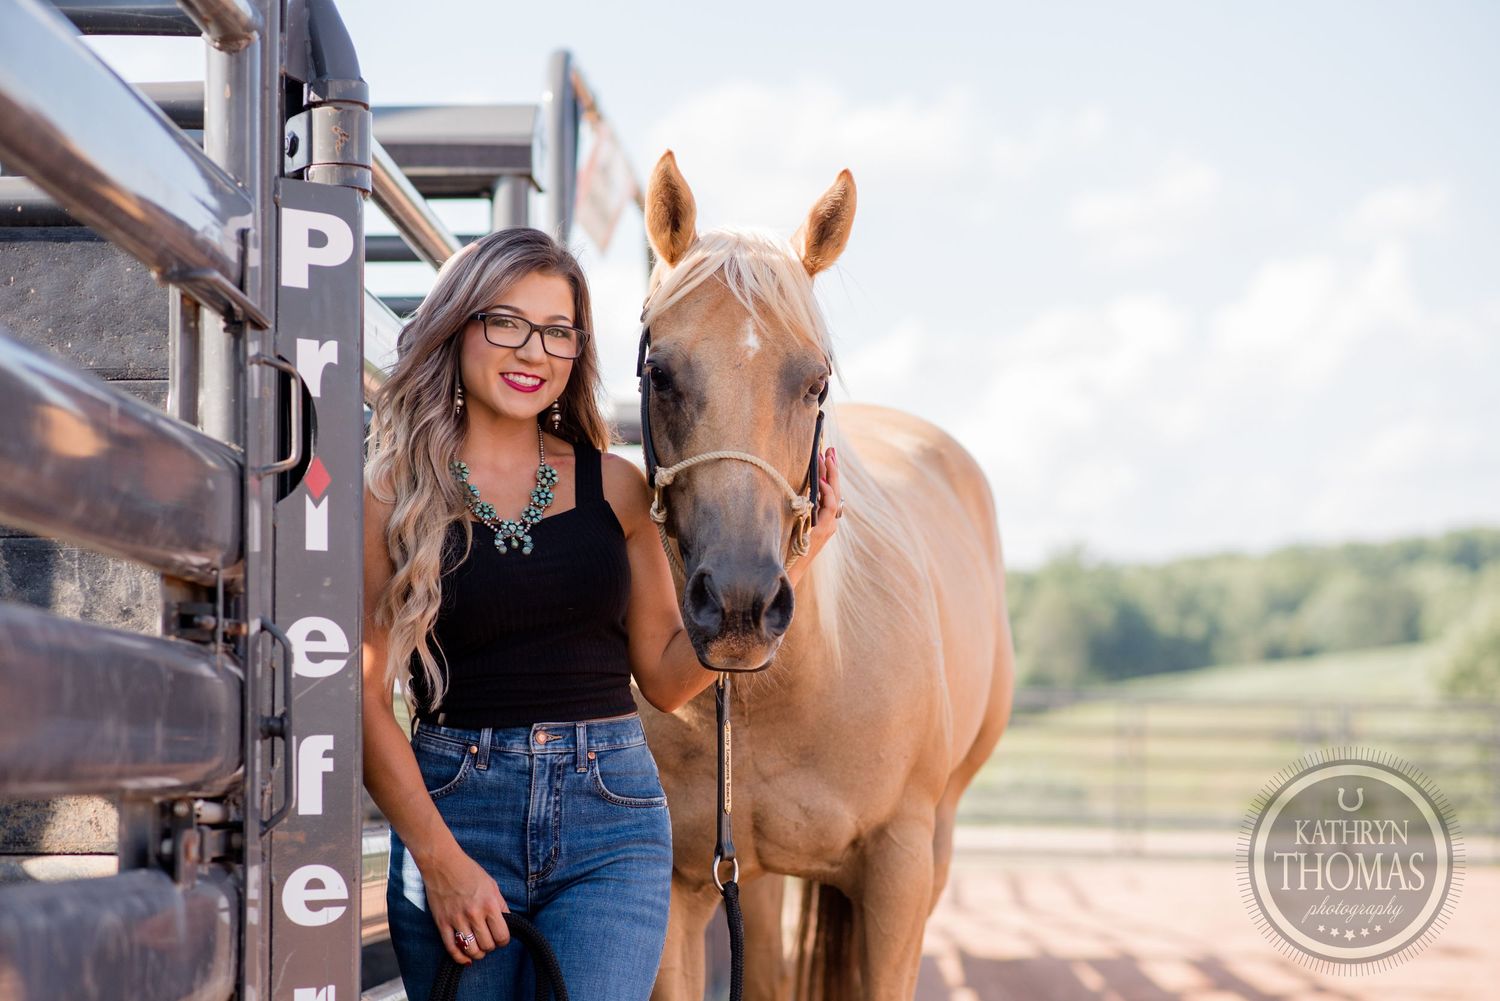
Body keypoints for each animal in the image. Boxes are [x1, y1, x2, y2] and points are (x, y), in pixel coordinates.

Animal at [635, 151, 1014, 1001]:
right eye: (659, 373)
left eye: (817, 382)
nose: (738, 604)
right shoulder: (677, 882)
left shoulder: (899, 871)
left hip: (936, 841)